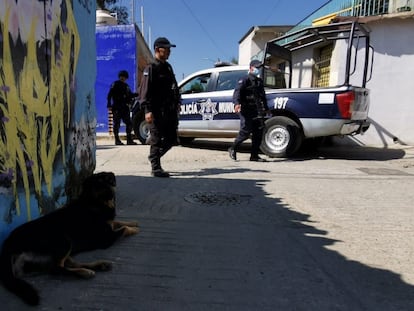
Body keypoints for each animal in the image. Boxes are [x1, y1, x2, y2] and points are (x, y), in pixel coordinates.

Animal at [0, 173, 139, 308]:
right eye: (98, 185)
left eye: (108, 182)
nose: (110, 193)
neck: (92, 202)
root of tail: (8, 242)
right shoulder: (106, 238)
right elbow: (123, 228)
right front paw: (132, 229)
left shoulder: (109, 224)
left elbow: (118, 222)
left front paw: (133, 223)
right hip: (64, 241)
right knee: (56, 269)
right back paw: (85, 272)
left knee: (68, 264)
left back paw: (99, 265)